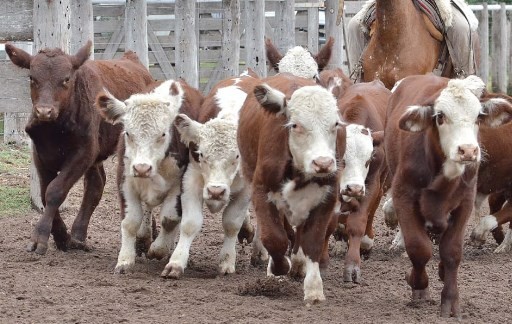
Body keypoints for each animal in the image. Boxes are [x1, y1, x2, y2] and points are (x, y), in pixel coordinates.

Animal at [5, 40, 154, 254]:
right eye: (32, 77)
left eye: (66, 79)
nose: (44, 111)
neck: (55, 130)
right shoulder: (40, 155)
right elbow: (44, 193)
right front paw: (62, 237)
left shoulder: (84, 152)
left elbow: (55, 191)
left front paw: (40, 236)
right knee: (95, 185)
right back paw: (78, 235)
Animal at [95, 79, 203, 274]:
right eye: (128, 133)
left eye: (163, 133)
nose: (142, 168)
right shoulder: (125, 181)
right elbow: (130, 221)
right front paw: (125, 260)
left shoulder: (180, 184)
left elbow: (169, 219)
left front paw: (159, 249)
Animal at [162, 73, 262, 278]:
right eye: (201, 154)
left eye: (237, 156)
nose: (216, 191)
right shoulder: (191, 178)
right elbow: (190, 223)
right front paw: (176, 262)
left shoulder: (246, 189)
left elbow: (232, 223)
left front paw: (227, 261)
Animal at [238, 72, 346, 302]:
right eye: (295, 125)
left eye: (335, 124)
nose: (323, 163)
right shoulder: (261, 190)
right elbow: (274, 238)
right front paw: (278, 268)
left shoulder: (327, 197)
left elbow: (313, 241)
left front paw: (314, 288)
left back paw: (298, 263)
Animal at [384, 73, 512, 316]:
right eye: (440, 116)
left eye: (478, 116)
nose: (468, 150)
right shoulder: (404, 195)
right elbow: (418, 247)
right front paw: (416, 283)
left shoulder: (465, 202)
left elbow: (451, 250)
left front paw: (450, 301)